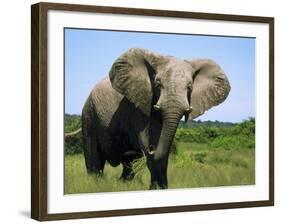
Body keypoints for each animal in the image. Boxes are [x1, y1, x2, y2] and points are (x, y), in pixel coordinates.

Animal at [80, 47, 229, 189]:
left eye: (189, 87)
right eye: (157, 84)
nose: (152, 148)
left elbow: (165, 152)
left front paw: (162, 188)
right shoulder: (137, 106)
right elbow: (145, 140)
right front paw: (156, 188)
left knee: (128, 164)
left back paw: (123, 183)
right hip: (89, 114)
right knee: (94, 160)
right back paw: (95, 184)